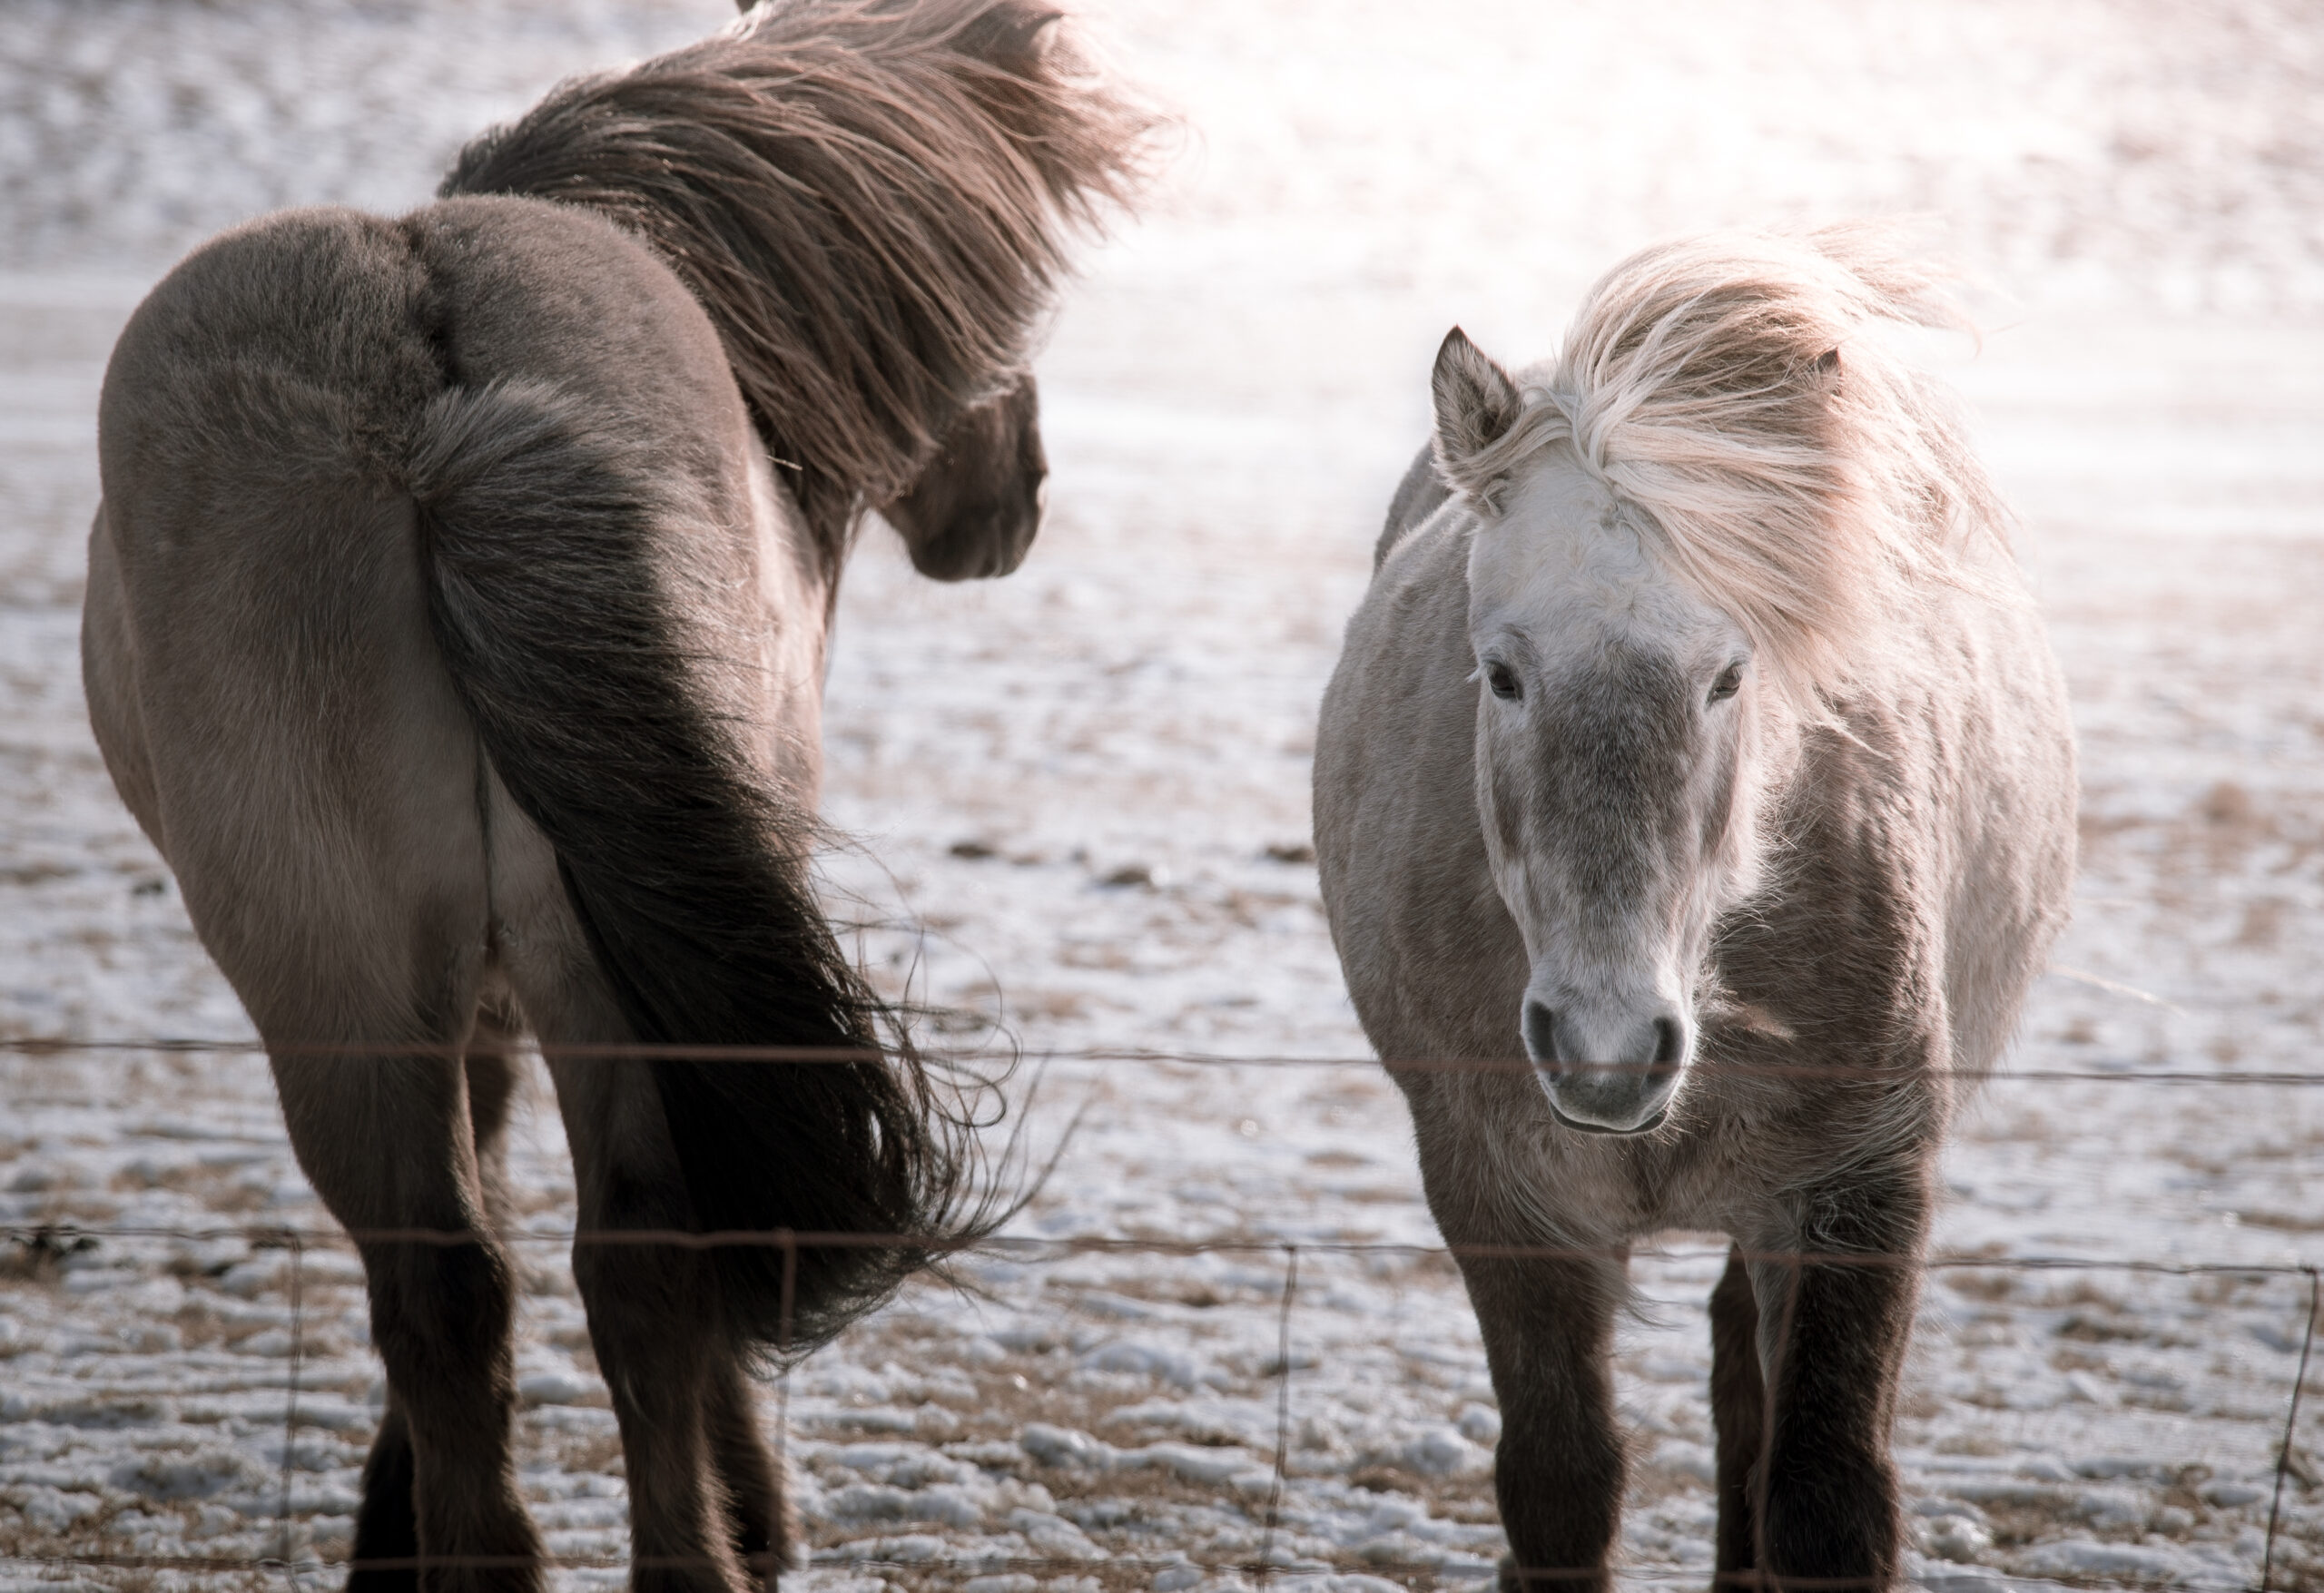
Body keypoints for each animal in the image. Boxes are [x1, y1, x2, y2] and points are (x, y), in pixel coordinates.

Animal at [85, 5, 1138, 1588]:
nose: (1015, 499)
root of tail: (430, 402)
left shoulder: (466, 981)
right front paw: (757, 1503)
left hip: (343, 975)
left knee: (455, 1273)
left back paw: (482, 1554)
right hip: (565, 959)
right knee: (630, 1257)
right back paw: (695, 1549)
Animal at [1320, 227, 2082, 1593]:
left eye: (1732, 674)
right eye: (1501, 672)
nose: (1608, 1048)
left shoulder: (1861, 1186)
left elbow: (1825, 1499)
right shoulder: (1498, 1195)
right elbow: (1560, 1490)